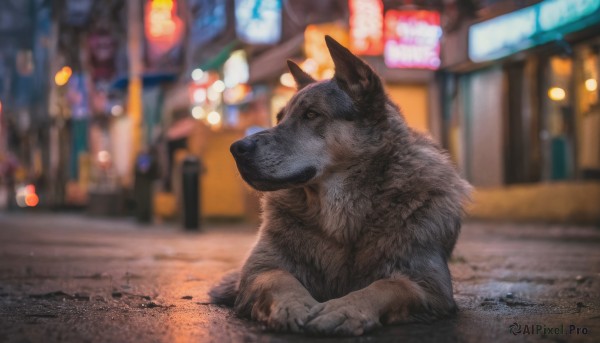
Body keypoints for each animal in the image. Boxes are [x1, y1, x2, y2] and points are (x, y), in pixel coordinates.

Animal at [209, 36, 472, 338]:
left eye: (311, 114)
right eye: (279, 118)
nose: (236, 148)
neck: (341, 214)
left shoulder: (430, 284)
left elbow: (386, 285)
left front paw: (345, 308)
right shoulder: (259, 269)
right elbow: (280, 278)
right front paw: (292, 305)